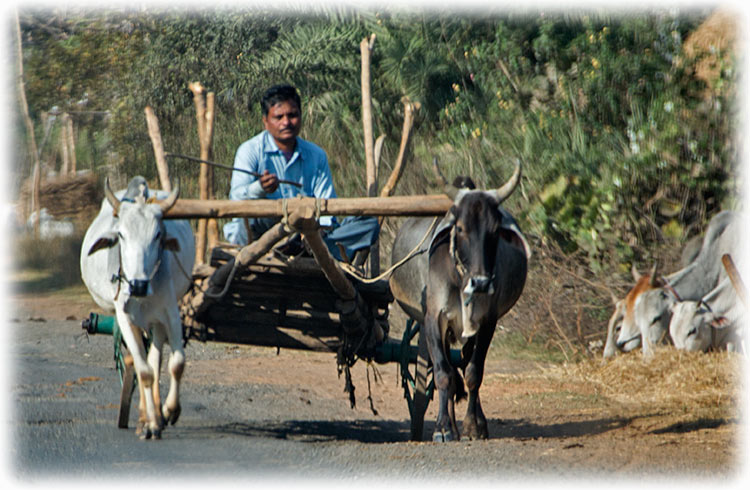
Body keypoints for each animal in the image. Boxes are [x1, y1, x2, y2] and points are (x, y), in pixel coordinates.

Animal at [81, 177, 195, 440]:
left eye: (158, 235)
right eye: (121, 235)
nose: (138, 285)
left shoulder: (170, 313)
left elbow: (176, 364)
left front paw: (170, 410)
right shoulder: (124, 317)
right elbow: (143, 372)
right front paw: (150, 424)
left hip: (157, 323)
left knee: (155, 359)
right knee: (138, 362)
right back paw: (145, 417)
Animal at [390, 160, 532, 440]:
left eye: (494, 230)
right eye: (460, 228)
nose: (481, 283)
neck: (460, 277)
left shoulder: (488, 322)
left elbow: (473, 372)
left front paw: (473, 426)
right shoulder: (433, 320)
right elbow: (443, 373)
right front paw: (443, 428)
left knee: (465, 365)